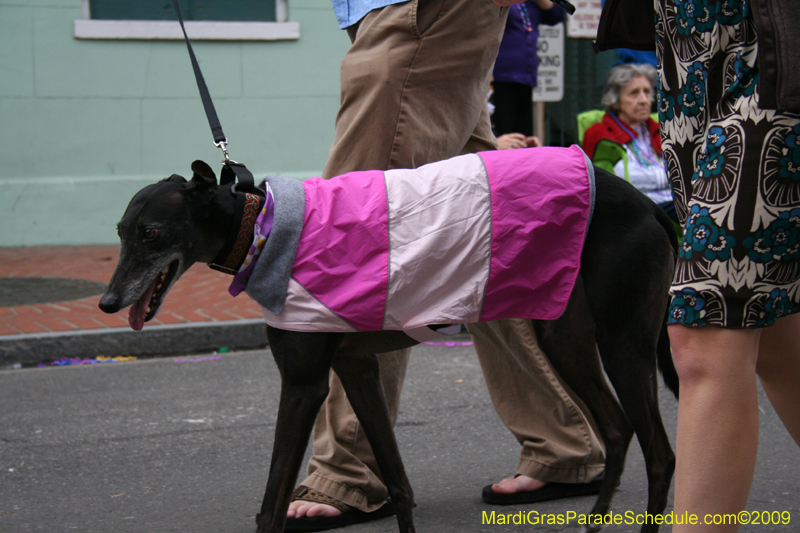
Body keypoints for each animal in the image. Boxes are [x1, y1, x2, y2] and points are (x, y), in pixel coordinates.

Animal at [98, 156, 676, 528]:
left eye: (151, 233)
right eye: (121, 230)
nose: (106, 301)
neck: (260, 224)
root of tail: (651, 206)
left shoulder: (304, 384)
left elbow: (270, 506)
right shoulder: (357, 370)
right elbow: (400, 487)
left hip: (625, 344)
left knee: (661, 454)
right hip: (567, 338)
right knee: (618, 430)